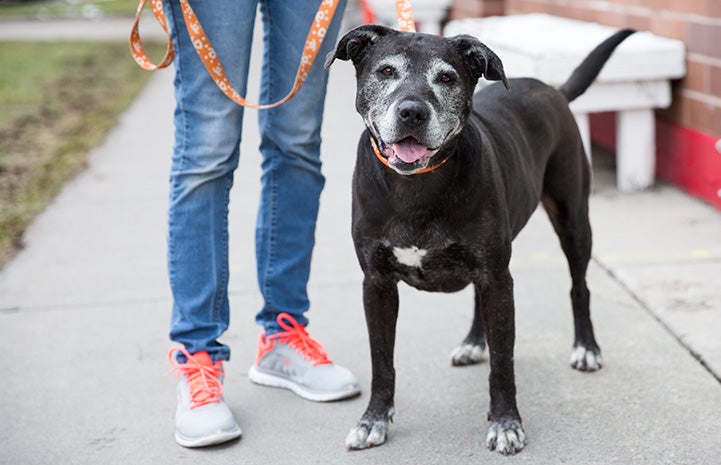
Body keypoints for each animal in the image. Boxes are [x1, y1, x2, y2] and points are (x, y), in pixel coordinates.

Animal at [324, 24, 632, 454]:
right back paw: (474, 342)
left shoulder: (498, 280)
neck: (416, 186)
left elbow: (503, 362)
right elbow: (381, 360)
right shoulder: (377, 284)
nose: (412, 112)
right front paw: (373, 420)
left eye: (447, 78)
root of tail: (552, 89)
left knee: (579, 286)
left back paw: (586, 348)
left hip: (573, 220)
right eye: (385, 71)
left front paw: (506, 423)